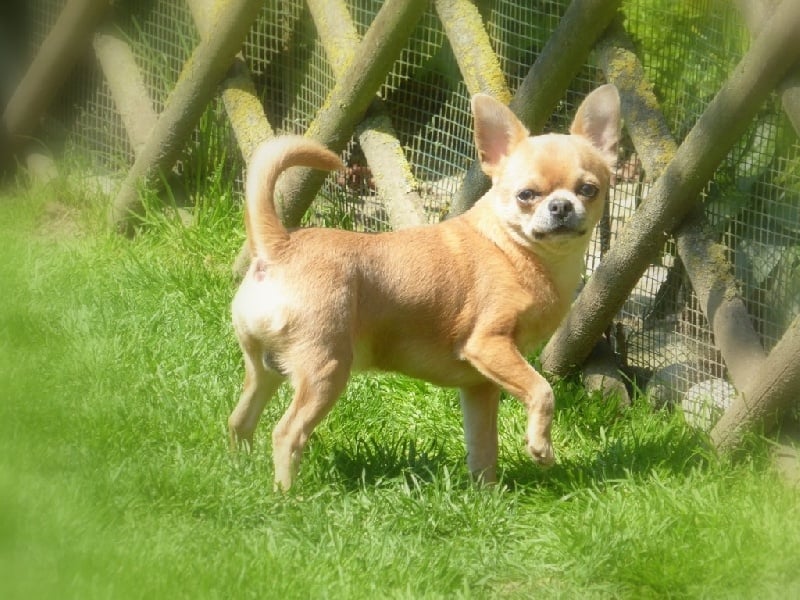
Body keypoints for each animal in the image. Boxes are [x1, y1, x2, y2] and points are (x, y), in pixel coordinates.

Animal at [230, 85, 620, 490]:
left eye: (589, 189)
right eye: (526, 195)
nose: (561, 206)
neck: (513, 249)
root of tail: (279, 246)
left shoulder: (481, 385)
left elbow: (484, 447)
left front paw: (487, 494)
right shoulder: (489, 344)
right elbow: (543, 391)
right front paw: (540, 447)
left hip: (266, 368)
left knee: (240, 420)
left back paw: (241, 470)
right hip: (326, 369)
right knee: (286, 433)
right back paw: (288, 494)